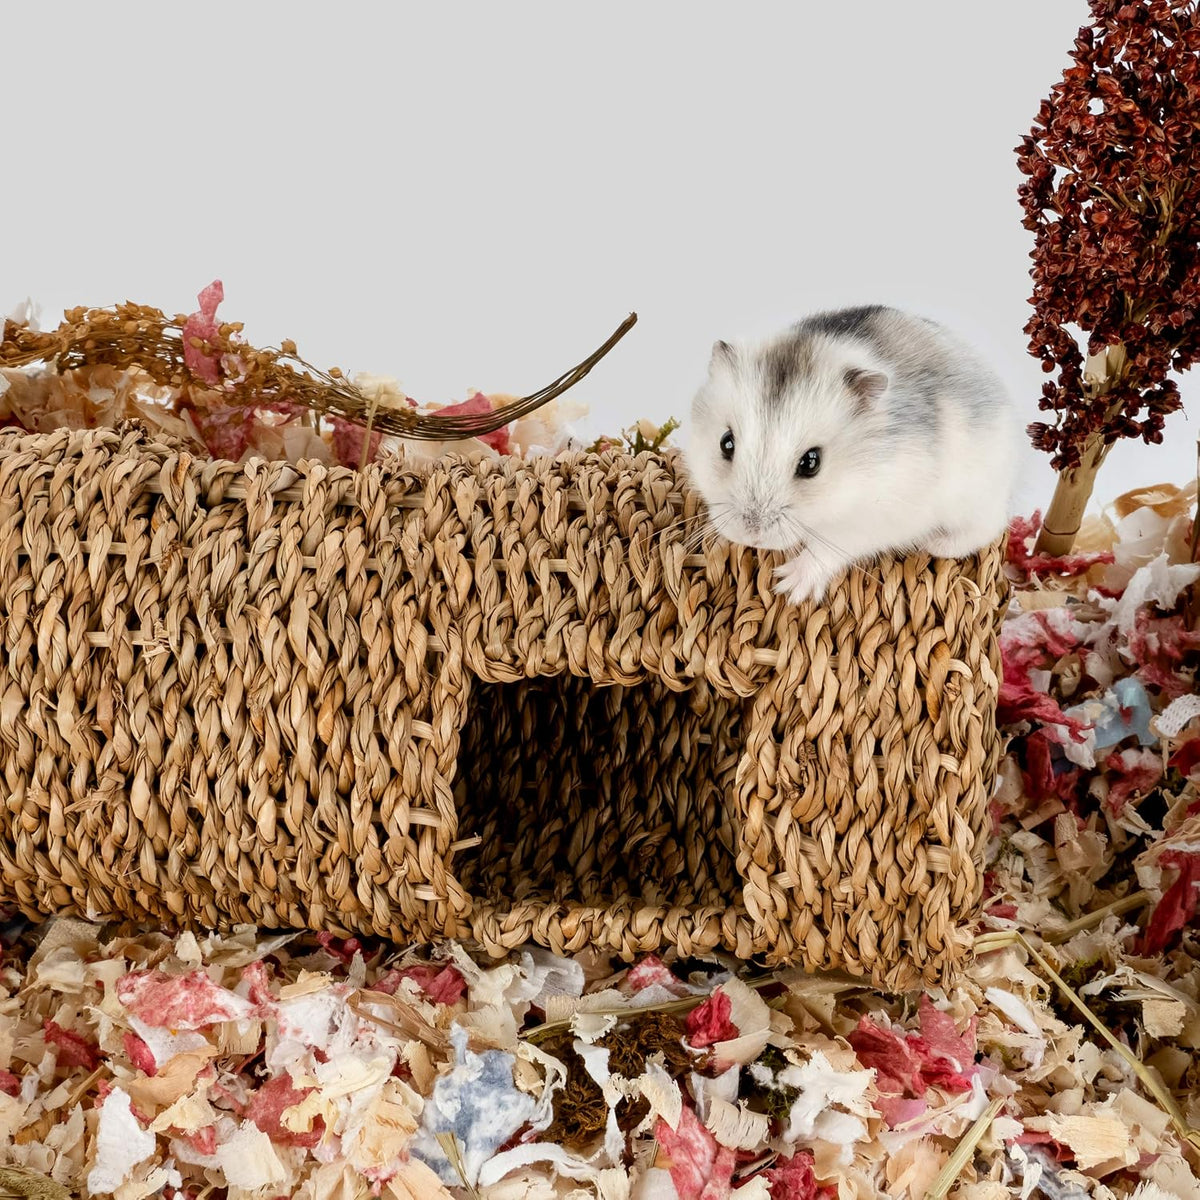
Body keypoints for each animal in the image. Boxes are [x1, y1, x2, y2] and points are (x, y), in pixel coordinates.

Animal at [683, 305, 1020, 605]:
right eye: (726, 443)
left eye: (811, 462)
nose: (751, 536)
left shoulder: (869, 522)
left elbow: (828, 547)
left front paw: (788, 587)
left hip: (976, 501)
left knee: (987, 529)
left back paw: (935, 544)